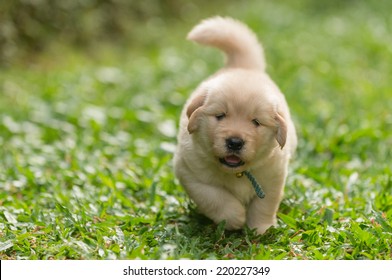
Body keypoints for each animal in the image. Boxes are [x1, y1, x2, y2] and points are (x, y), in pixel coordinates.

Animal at [173, 15, 296, 234]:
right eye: (220, 116)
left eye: (256, 122)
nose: (235, 142)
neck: (236, 173)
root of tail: (243, 66)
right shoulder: (190, 173)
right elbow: (214, 197)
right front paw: (235, 218)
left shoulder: (273, 178)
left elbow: (265, 204)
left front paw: (261, 229)